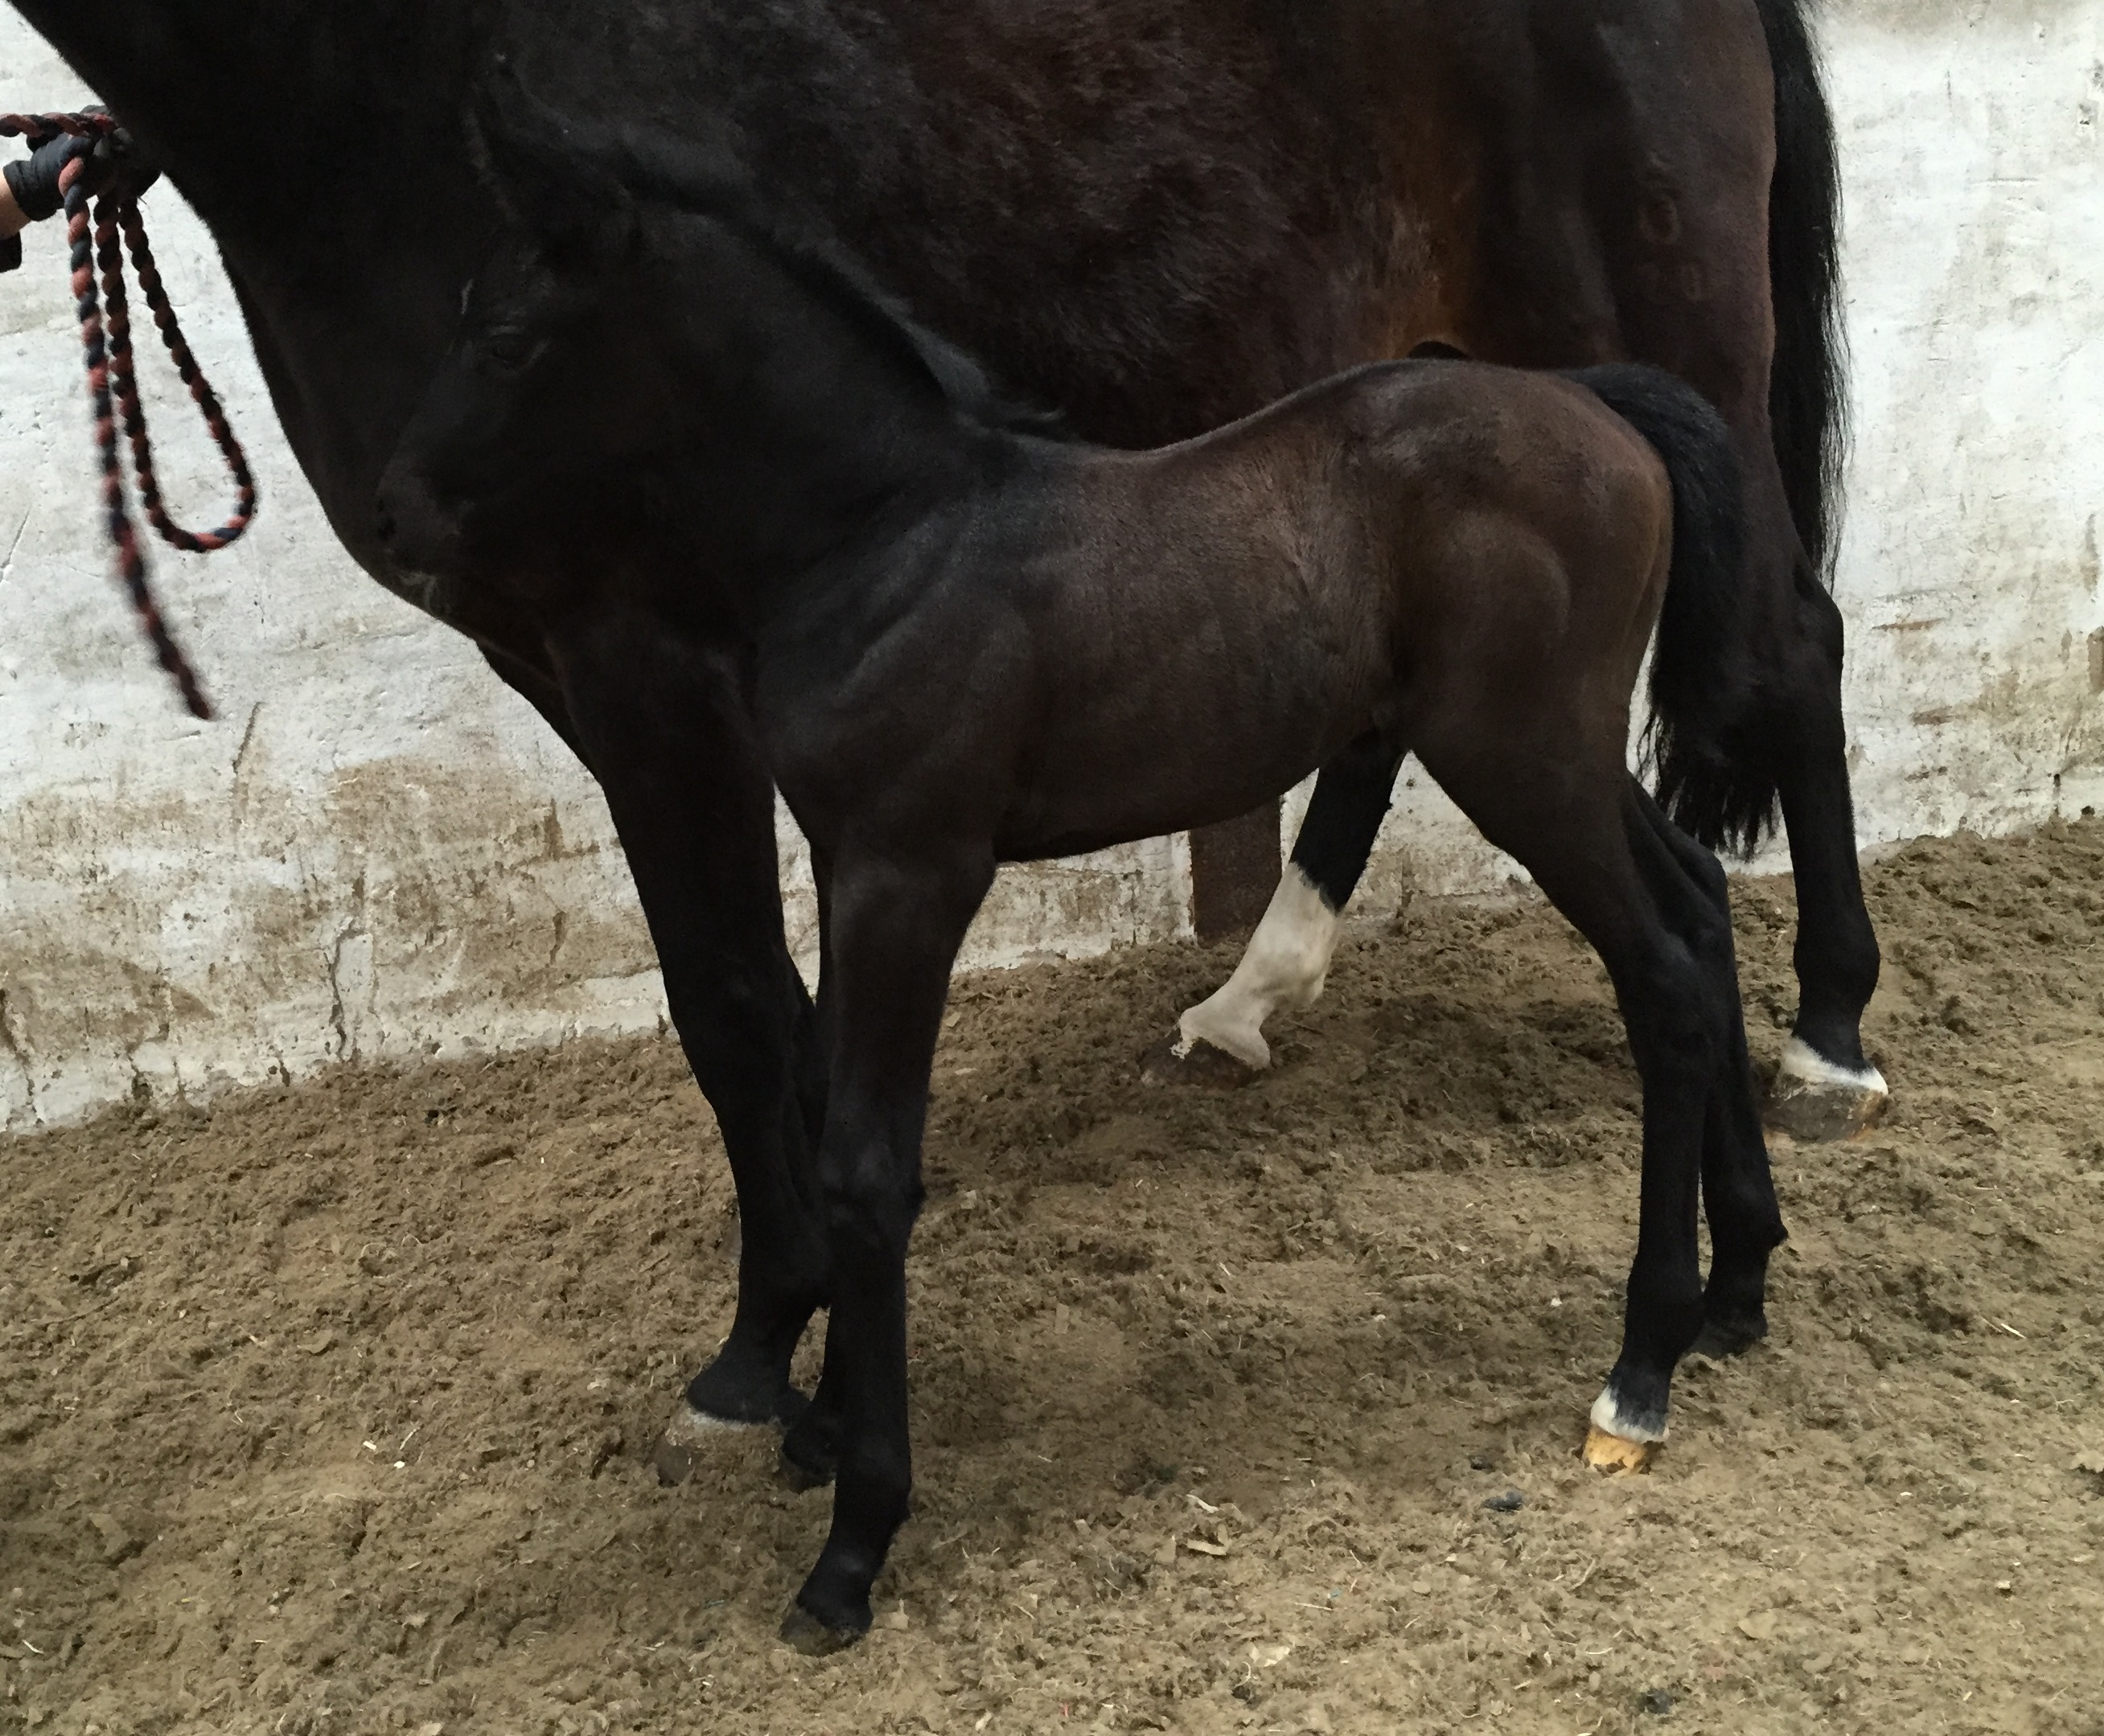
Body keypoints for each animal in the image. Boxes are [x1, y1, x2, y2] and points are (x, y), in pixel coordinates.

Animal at [373, 91, 1790, 1650]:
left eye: (510, 336)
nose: (395, 519)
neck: (884, 541)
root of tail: (1599, 402)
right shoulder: (843, 855)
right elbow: (822, 1106)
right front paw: (818, 1426)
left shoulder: (913, 869)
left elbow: (866, 1165)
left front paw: (853, 1539)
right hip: (1559, 756)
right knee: (1700, 905)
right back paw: (1737, 1286)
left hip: (1520, 758)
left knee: (1662, 970)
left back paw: (1641, 1367)